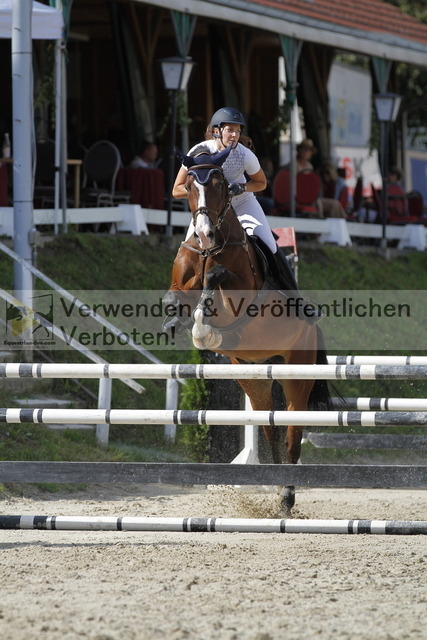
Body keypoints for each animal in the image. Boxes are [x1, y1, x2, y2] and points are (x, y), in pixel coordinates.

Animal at [163, 145, 331, 514]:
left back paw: (286, 498)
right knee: (270, 429)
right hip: (255, 378)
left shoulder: (239, 293)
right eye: (190, 186)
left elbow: (216, 278)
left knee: (292, 434)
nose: (204, 233)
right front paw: (182, 324)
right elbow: (175, 297)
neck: (211, 249)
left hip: (297, 375)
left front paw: (204, 329)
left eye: (219, 184)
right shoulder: (181, 282)